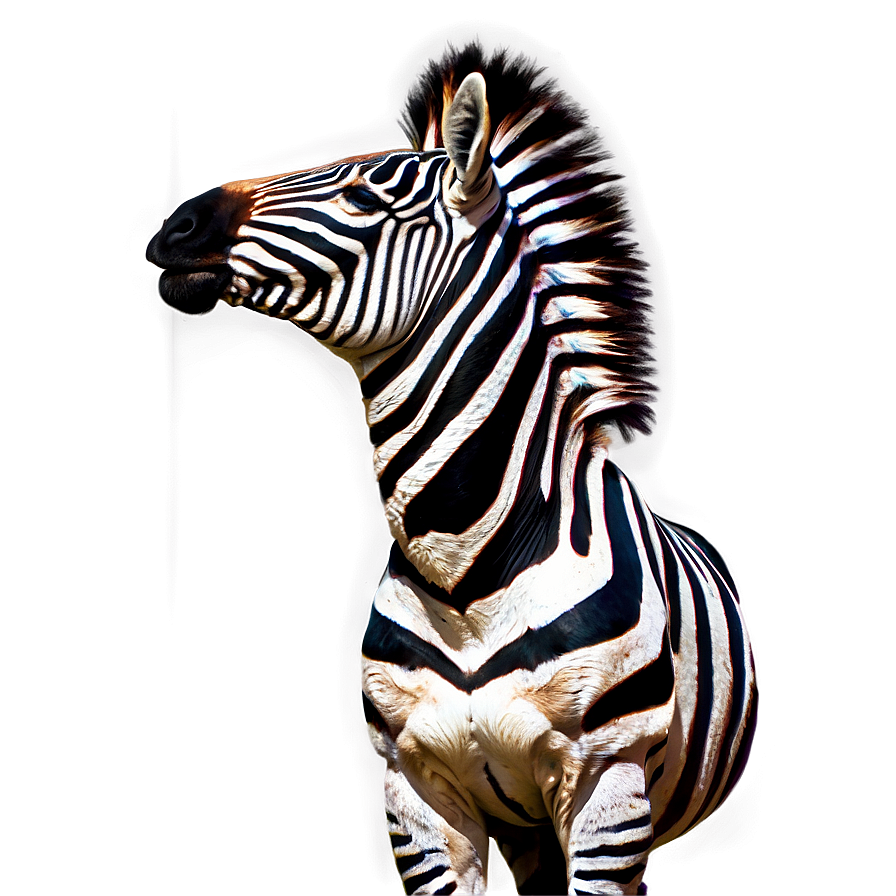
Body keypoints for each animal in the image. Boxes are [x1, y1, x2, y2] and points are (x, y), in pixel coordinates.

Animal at [147, 49, 755, 896]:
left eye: (363, 194)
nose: (176, 225)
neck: (466, 570)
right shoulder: (417, 794)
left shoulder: (608, 787)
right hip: (527, 824)